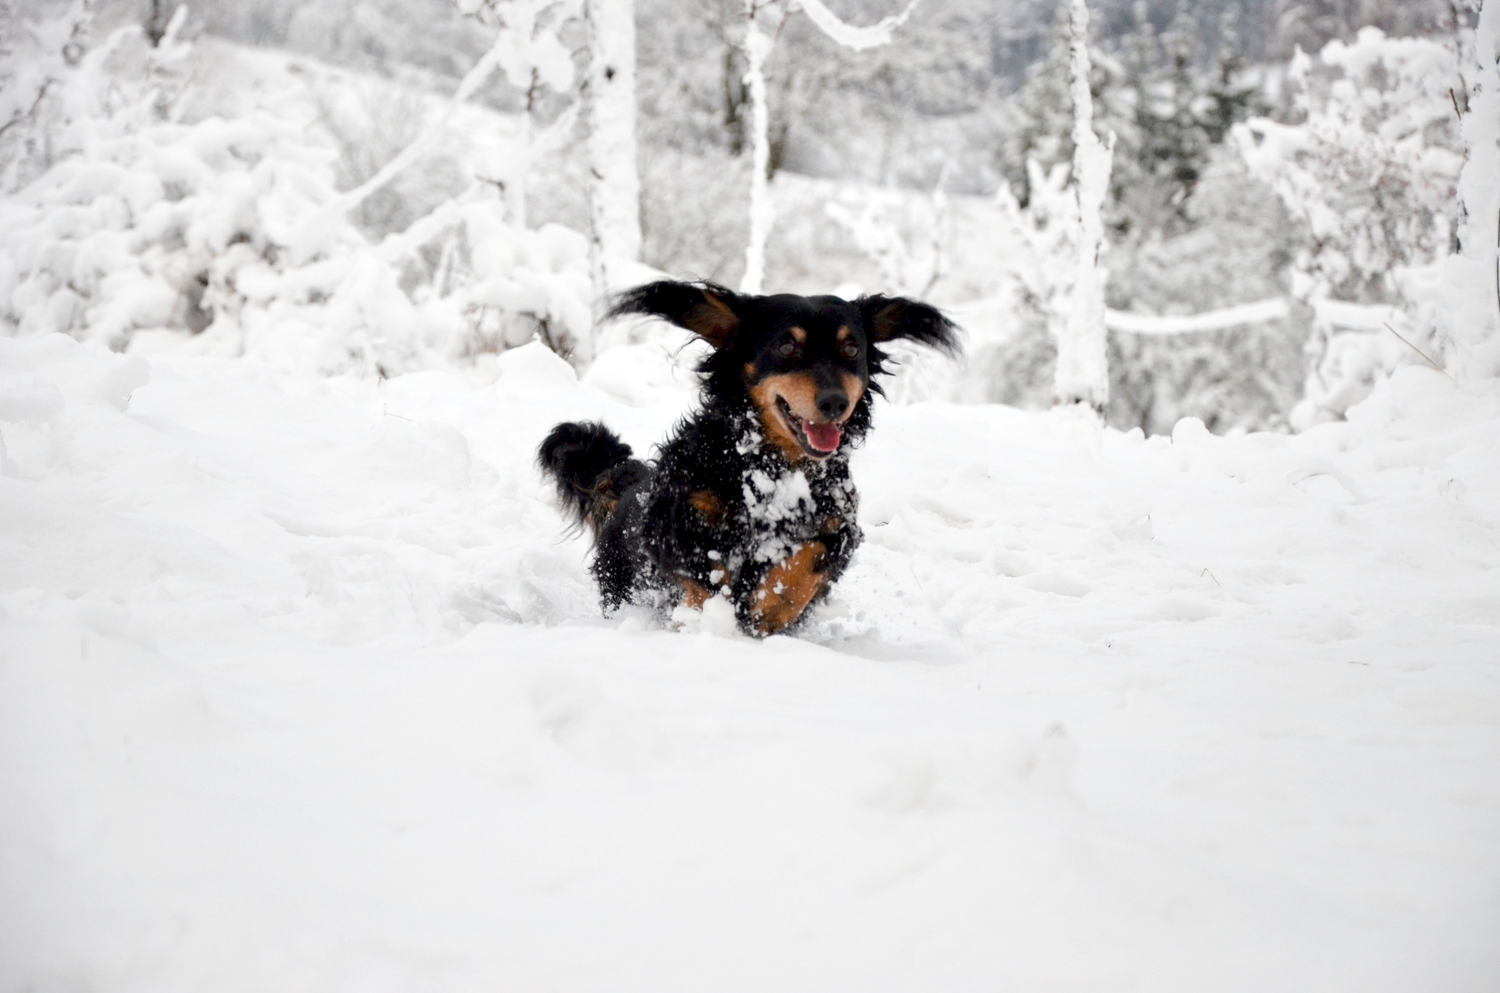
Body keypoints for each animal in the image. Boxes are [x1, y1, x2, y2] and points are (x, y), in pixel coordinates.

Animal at [538, 280, 959, 636]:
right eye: (786, 346)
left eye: (852, 348)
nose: (835, 403)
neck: (773, 473)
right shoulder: (670, 519)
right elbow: (703, 572)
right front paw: (707, 618)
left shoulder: (839, 527)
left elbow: (807, 564)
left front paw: (768, 609)